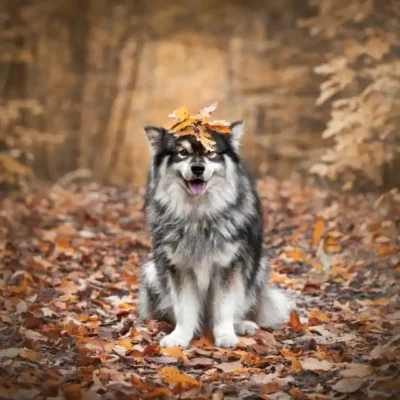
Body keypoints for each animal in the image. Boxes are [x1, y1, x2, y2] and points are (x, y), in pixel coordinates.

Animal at [138, 121, 290, 346]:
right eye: (183, 153)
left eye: (211, 152)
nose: (197, 168)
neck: (199, 217)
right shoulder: (179, 268)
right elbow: (184, 309)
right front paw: (180, 336)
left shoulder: (228, 266)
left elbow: (225, 306)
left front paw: (225, 334)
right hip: (151, 271)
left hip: (258, 268)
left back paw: (241, 325)